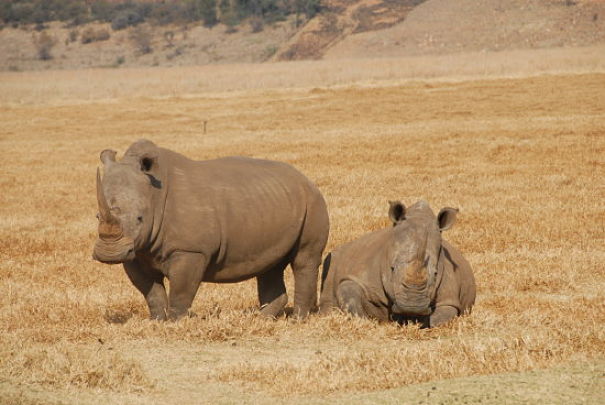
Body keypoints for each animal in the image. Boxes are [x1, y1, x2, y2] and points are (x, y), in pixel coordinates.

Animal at [92, 139, 328, 318]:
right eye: (97, 216)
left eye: (140, 218)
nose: (109, 254)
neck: (154, 196)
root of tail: (306, 179)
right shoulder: (137, 251)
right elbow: (152, 292)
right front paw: (157, 320)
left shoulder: (190, 250)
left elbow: (181, 290)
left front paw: (176, 321)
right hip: (274, 203)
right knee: (270, 265)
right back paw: (263, 319)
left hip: (313, 202)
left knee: (304, 259)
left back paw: (297, 318)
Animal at [318, 200, 474, 326]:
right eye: (392, 269)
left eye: (436, 274)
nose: (412, 307)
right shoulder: (359, 274)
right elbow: (349, 293)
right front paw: (369, 321)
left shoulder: (449, 297)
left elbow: (439, 317)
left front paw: (414, 322)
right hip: (336, 257)